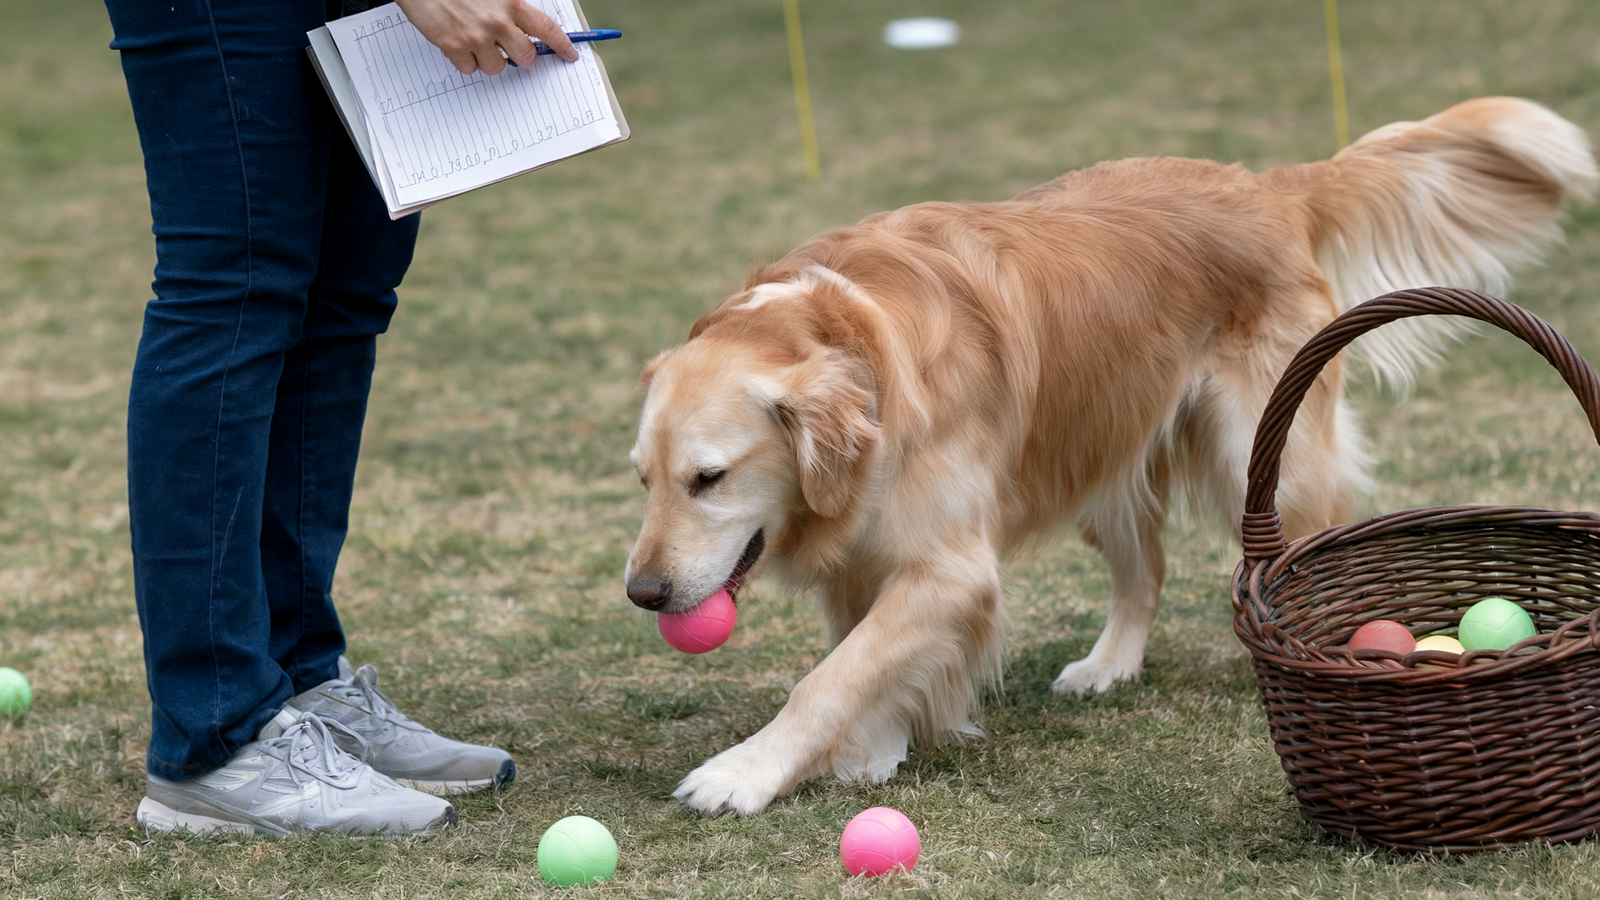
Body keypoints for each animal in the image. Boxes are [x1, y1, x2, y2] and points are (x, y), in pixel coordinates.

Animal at [624, 98, 1600, 813]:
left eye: (708, 479)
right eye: (642, 479)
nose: (643, 594)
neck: (854, 343)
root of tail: (1268, 186)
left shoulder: (952, 566)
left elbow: (831, 677)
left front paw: (745, 773)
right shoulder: (863, 550)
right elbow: (857, 656)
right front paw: (873, 748)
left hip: (1263, 452)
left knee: (1309, 545)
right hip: (1104, 453)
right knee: (1148, 567)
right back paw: (1110, 665)